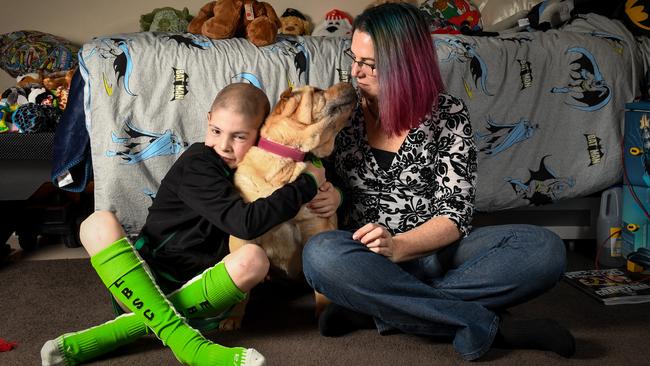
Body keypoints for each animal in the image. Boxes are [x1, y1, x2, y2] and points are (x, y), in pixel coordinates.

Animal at [224, 82, 354, 328]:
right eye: (318, 91)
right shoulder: (242, 239)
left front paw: (323, 312)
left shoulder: (315, 230)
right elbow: (239, 290)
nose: (350, 82)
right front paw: (233, 317)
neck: (289, 163)